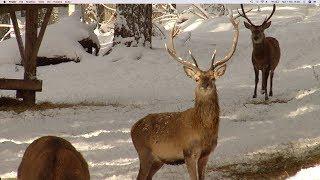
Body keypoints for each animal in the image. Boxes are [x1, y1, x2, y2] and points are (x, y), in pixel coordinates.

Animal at [131, 13, 239, 180]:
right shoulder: (189, 153)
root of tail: (132, 129)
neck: (203, 129)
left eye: (213, 78)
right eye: (197, 79)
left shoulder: (206, 154)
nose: (205, 85)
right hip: (144, 152)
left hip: (158, 160)